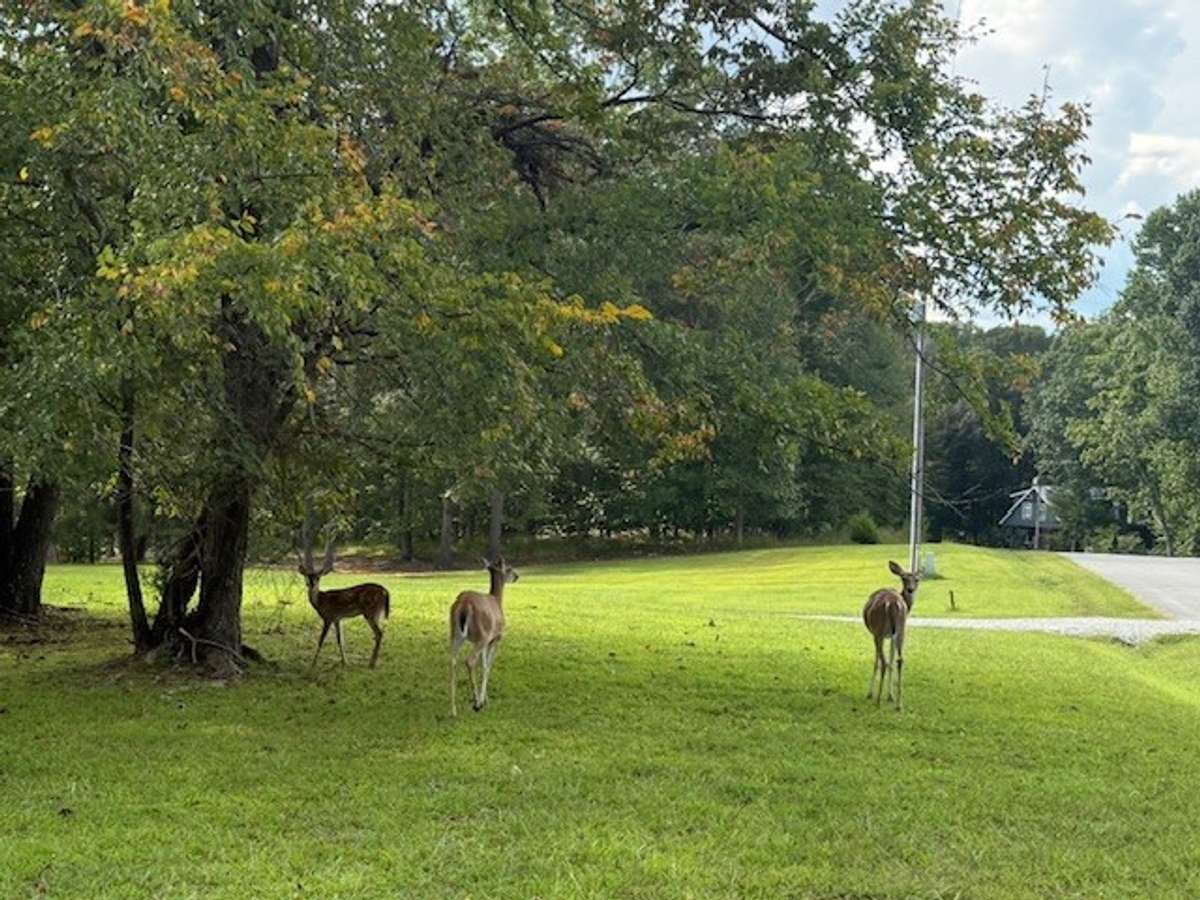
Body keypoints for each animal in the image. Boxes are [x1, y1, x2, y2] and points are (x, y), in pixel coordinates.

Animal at [297, 529, 390, 670]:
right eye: (307, 576)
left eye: (318, 577)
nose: (311, 584)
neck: (320, 602)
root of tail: (385, 592)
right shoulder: (337, 618)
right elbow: (340, 639)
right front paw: (344, 662)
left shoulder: (328, 616)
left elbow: (321, 640)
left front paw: (313, 663)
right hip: (377, 613)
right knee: (379, 633)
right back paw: (372, 662)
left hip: (371, 611)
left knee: (379, 633)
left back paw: (371, 664)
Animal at [449, 556, 518, 717]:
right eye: (509, 568)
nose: (517, 576)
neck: (497, 600)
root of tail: (464, 605)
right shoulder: (495, 638)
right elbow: (487, 666)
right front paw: (483, 700)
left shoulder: (486, 643)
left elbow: (483, 664)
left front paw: (485, 699)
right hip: (481, 636)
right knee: (469, 660)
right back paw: (475, 703)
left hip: (455, 634)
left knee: (453, 661)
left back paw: (453, 710)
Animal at [863, 560, 919, 711]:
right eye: (904, 578)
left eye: (917, 579)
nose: (911, 589)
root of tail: (893, 603)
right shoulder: (893, 635)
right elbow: (892, 660)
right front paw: (890, 696)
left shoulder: (877, 634)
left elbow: (877, 661)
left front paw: (870, 693)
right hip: (901, 630)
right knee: (900, 660)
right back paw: (899, 704)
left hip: (879, 630)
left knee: (883, 661)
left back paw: (877, 700)